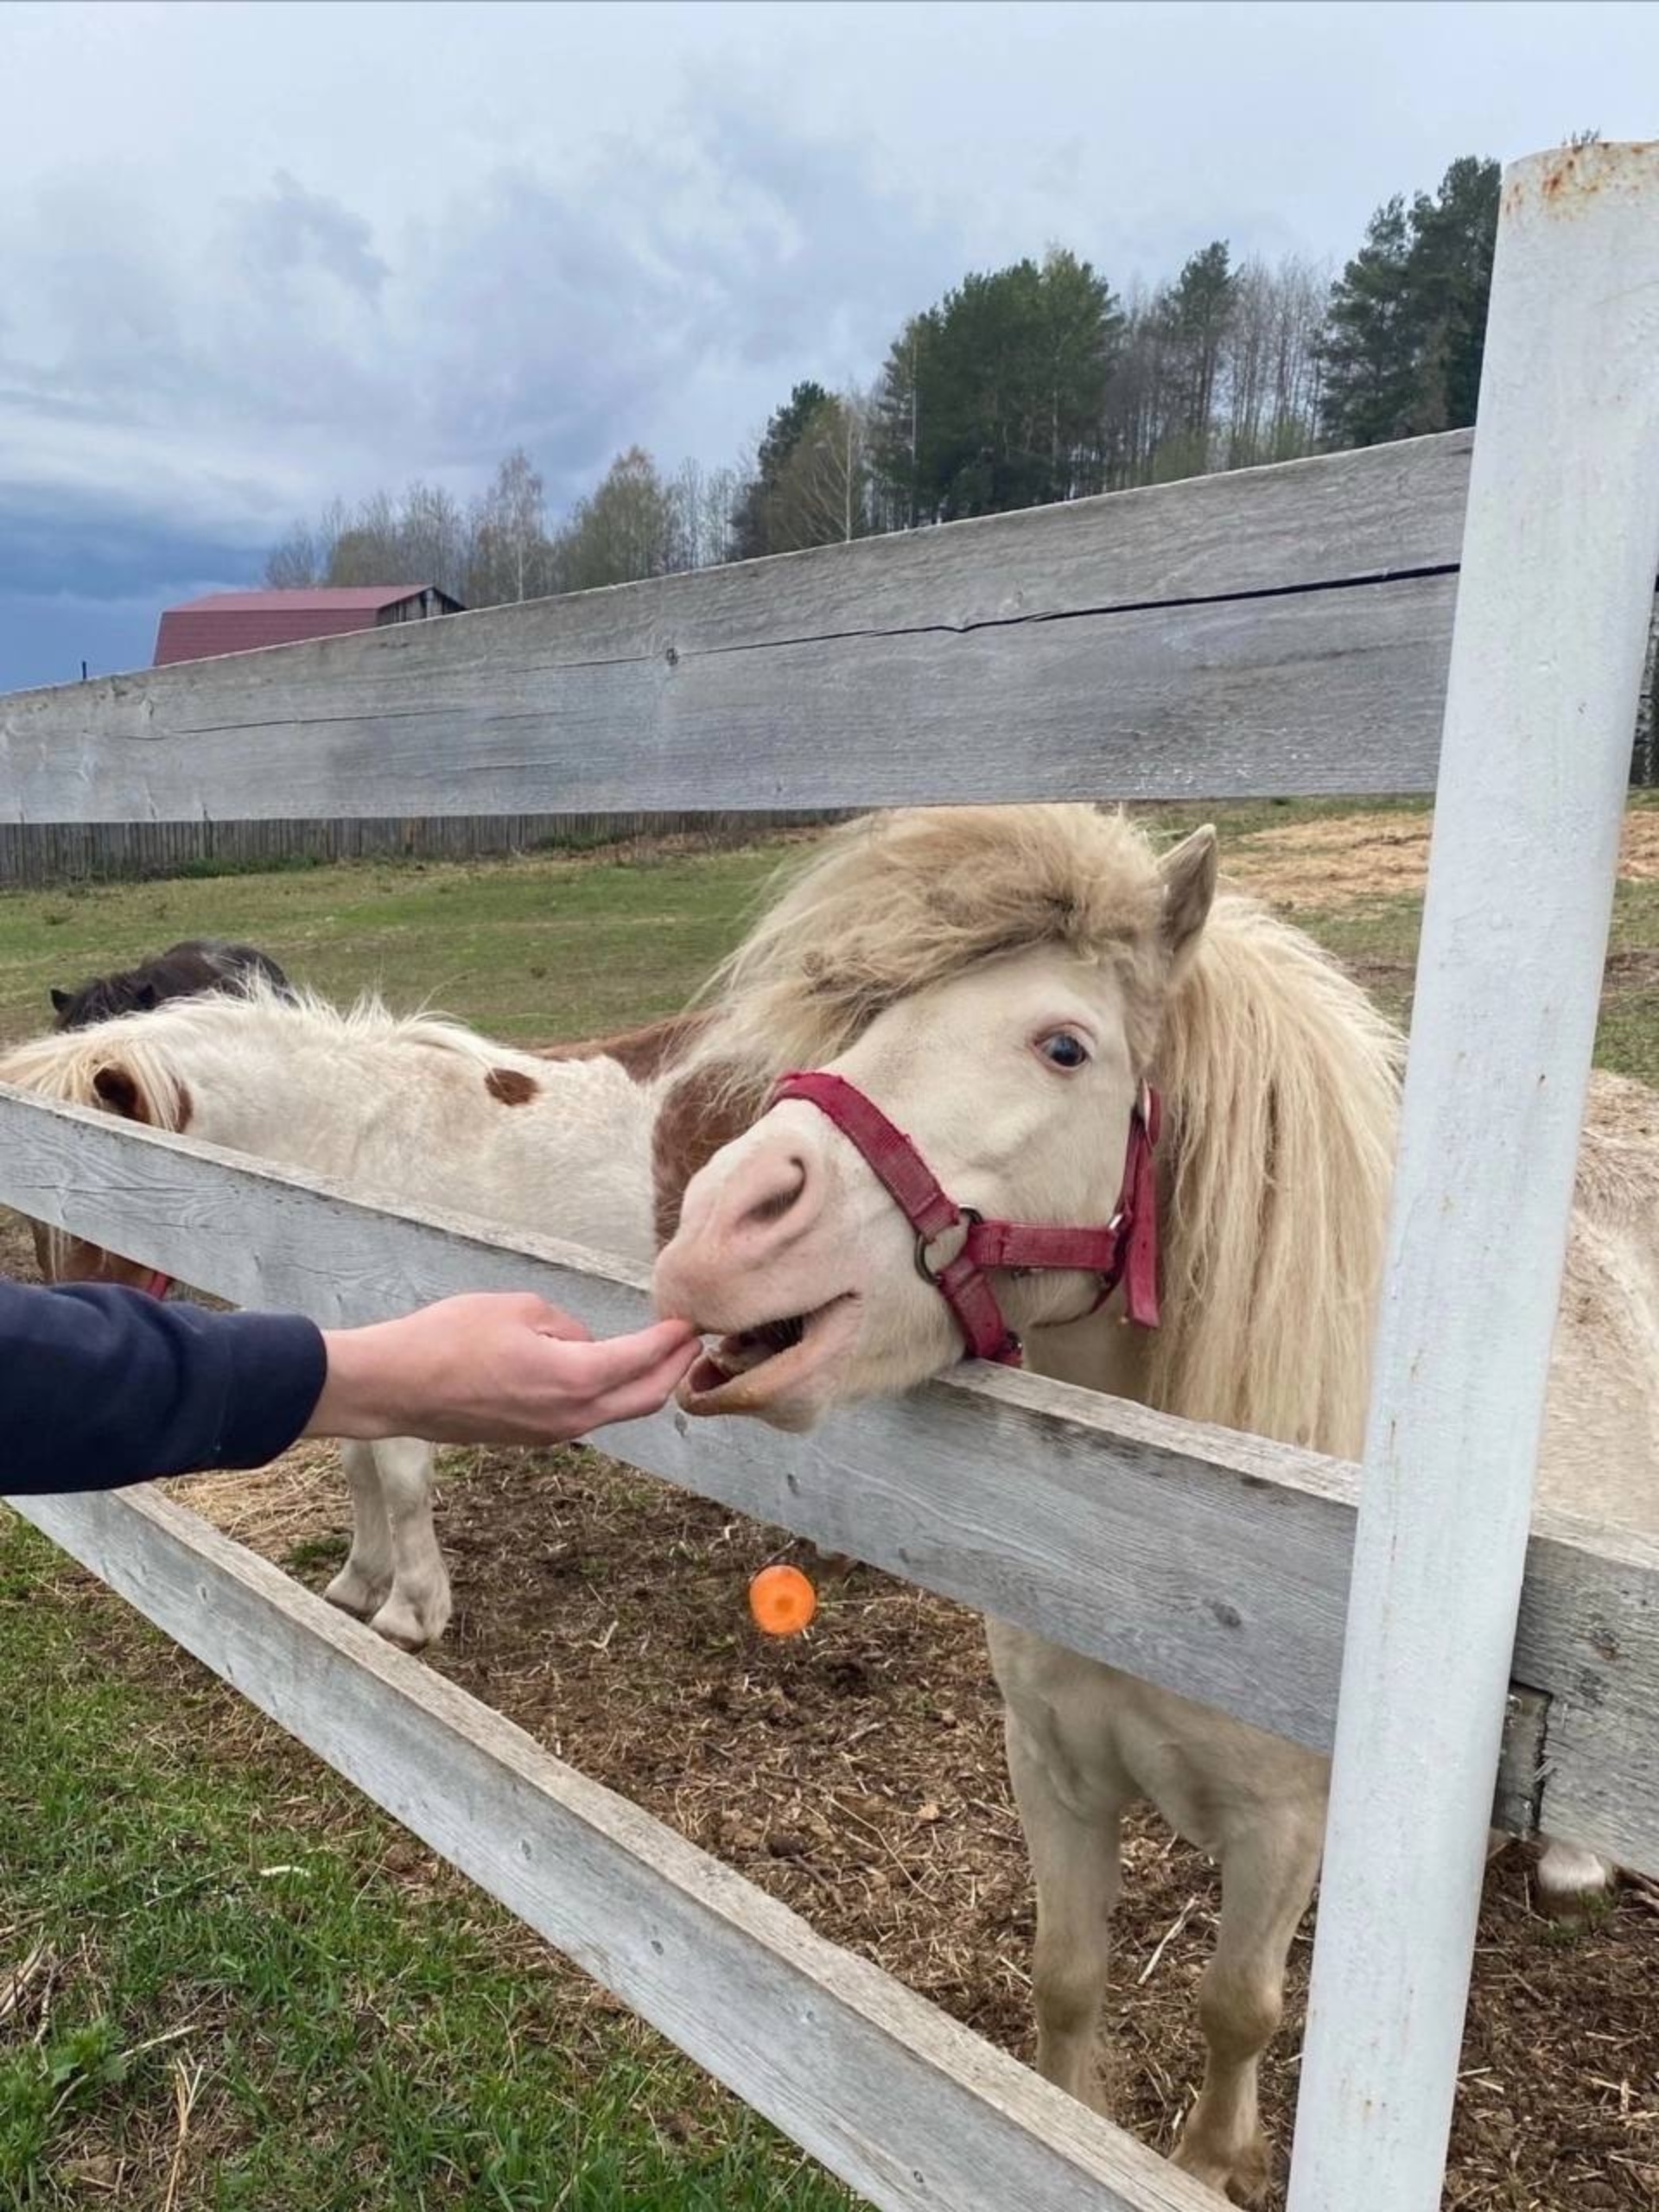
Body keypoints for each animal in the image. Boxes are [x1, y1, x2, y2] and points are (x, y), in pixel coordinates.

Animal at [654, 804, 1659, 2202]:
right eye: (871, 1019)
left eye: (1063, 1045)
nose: (720, 1227)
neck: (1170, 1543)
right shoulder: (1053, 1768)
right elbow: (1067, 1975)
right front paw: (1068, 2117)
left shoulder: (1285, 1831)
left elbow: (1238, 2007)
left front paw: (1209, 2162)